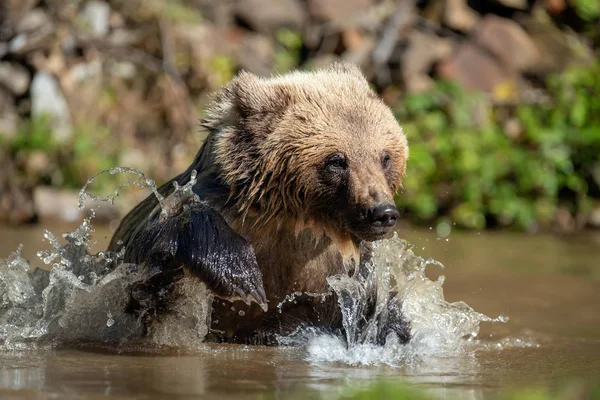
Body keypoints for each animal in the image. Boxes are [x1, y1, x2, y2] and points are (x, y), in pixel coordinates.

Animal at [108, 62, 410, 346]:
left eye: (384, 157)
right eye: (337, 160)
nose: (382, 212)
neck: (291, 216)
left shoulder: (345, 272)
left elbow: (379, 313)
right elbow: (146, 263)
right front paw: (241, 276)